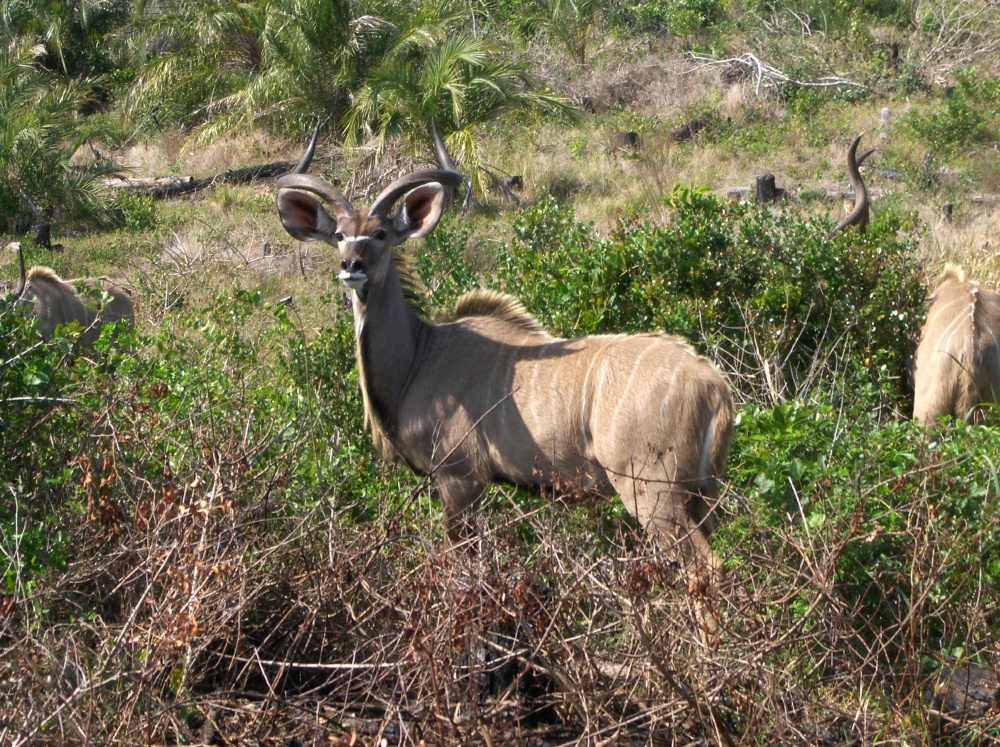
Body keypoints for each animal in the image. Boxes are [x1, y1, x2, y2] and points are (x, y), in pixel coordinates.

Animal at [278, 145, 732, 632]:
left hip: (653, 494)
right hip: (699, 497)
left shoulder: (460, 479)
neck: (420, 356)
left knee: (705, 567)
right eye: (339, 235)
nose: (352, 267)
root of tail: (714, 387)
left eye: (380, 233)